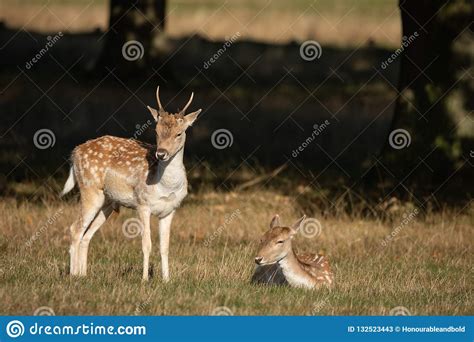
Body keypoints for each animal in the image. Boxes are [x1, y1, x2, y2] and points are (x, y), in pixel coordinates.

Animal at [60, 85, 201, 280]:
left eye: (179, 133)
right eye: (156, 131)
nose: (161, 154)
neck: (165, 186)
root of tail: (75, 152)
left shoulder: (170, 209)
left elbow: (165, 247)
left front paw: (166, 280)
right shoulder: (142, 204)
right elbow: (146, 244)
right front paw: (144, 279)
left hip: (107, 202)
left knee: (86, 234)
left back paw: (83, 275)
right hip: (90, 190)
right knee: (75, 228)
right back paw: (74, 275)